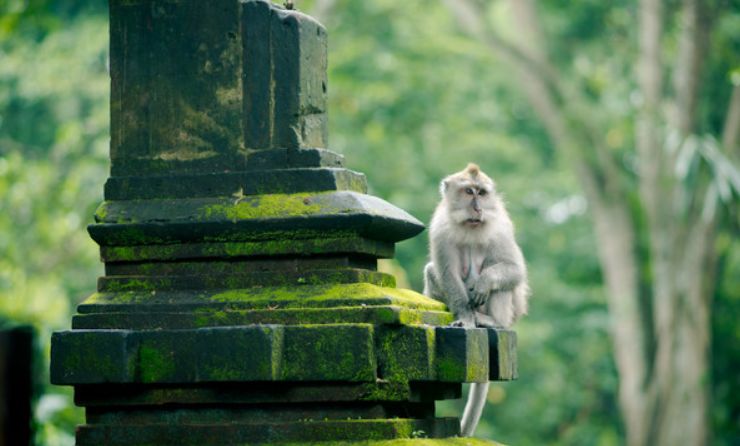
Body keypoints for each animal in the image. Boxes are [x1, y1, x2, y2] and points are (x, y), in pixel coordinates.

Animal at [422, 163, 528, 436]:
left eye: (482, 192)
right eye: (469, 191)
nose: (478, 208)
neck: (470, 226)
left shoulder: (500, 228)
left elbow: (515, 270)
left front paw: (483, 282)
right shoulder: (440, 230)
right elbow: (446, 273)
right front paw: (464, 319)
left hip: (509, 313)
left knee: (502, 285)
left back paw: (492, 321)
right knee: (431, 271)